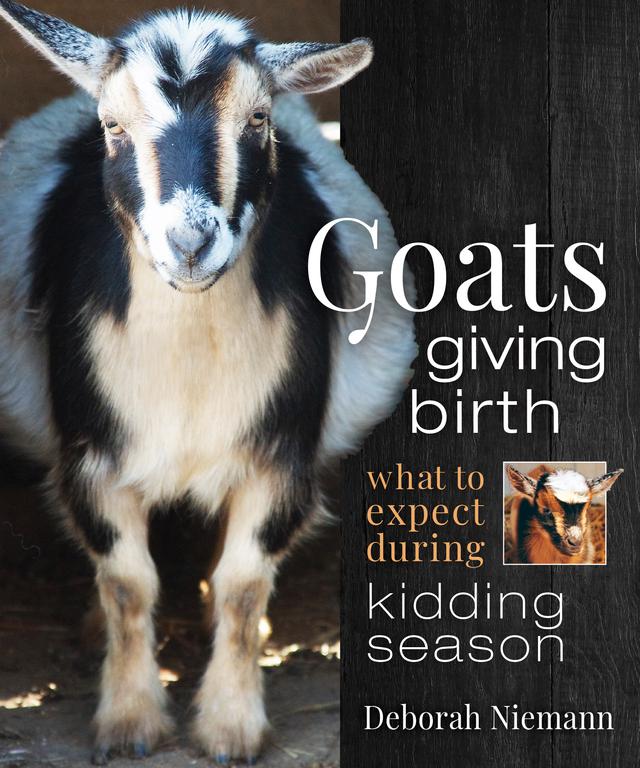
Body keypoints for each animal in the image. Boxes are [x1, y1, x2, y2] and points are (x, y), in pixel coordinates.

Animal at [0, 2, 416, 764]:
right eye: (111, 124)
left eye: (258, 118)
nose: (190, 244)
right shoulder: (90, 454)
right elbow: (128, 583)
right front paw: (129, 723)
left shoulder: (280, 452)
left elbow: (242, 586)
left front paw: (230, 727)